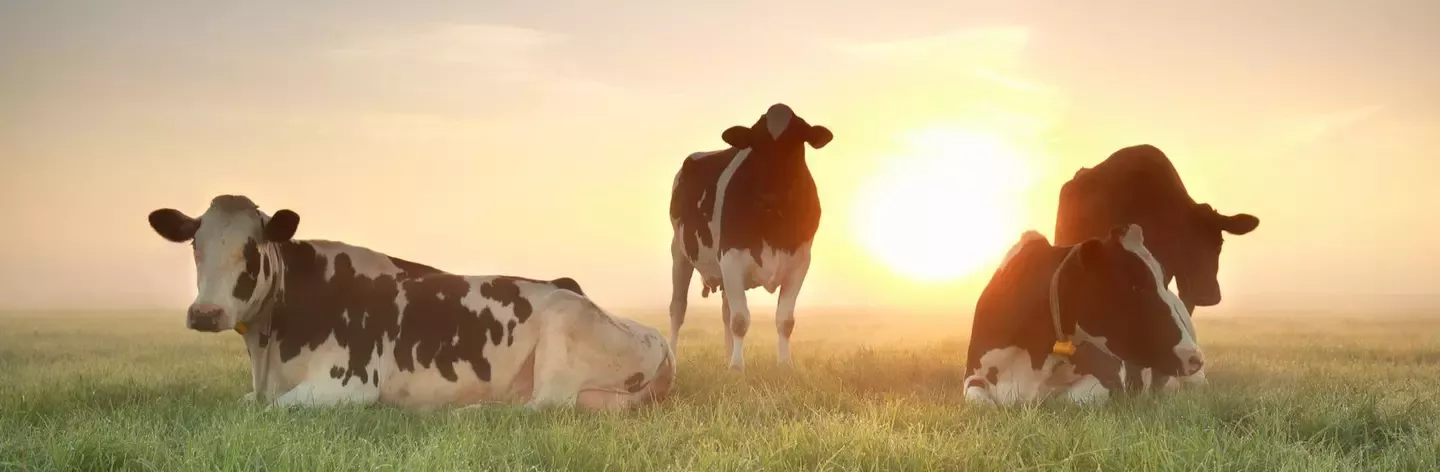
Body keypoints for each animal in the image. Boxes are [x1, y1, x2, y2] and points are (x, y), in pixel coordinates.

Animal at [147, 195, 675, 411]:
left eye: (251, 248)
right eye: (195, 245)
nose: (205, 313)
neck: (269, 350)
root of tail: (661, 341)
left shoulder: (347, 385)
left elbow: (262, 410)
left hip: (561, 335)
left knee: (543, 407)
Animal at [667, 103, 833, 371]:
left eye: (797, 142)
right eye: (755, 144)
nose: (770, 196)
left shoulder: (799, 262)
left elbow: (785, 321)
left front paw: (785, 365)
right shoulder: (731, 258)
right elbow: (740, 319)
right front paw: (737, 368)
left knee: (724, 309)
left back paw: (727, 355)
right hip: (679, 252)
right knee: (678, 309)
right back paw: (672, 357)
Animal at [963, 225, 1203, 406]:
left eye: (1162, 281)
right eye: (1136, 286)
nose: (1195, 358)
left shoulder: (1108, 377)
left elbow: (1067, 399)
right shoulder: (973, 375)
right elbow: (981, 402)